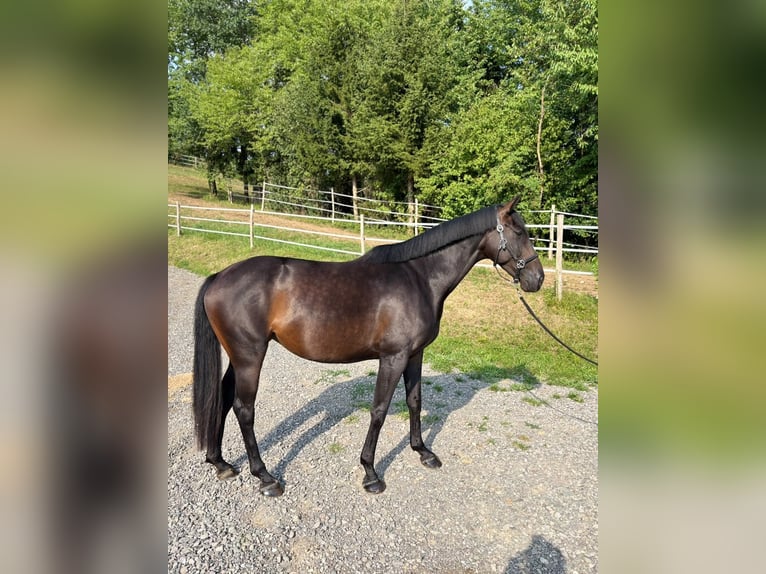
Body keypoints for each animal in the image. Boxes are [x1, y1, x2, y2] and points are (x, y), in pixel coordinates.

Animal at [192, 197, 544, 496]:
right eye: (518, 231)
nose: (537, 279)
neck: (420, 278)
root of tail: (219, 276)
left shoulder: (415, 354)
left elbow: (414, 401)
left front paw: (423, 452)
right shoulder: (393, 357)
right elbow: (379, 410)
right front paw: (370, 473)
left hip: (238, 357)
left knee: (223, 398)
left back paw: (220, 462)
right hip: (250, 357)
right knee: (244, 409)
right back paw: (265, 476)